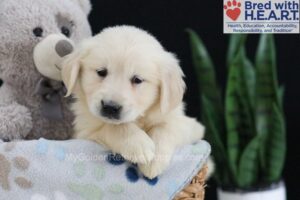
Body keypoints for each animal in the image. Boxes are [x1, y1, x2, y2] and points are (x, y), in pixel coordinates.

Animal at [61, 25, 206, 178]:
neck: (139, 119)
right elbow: (113, 127)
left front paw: (154, 160)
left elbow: (166, 127)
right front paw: (138, 144)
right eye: (101, 72)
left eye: (137, 80)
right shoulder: (84, 132)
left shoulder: (191, 126)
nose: (110, 107)